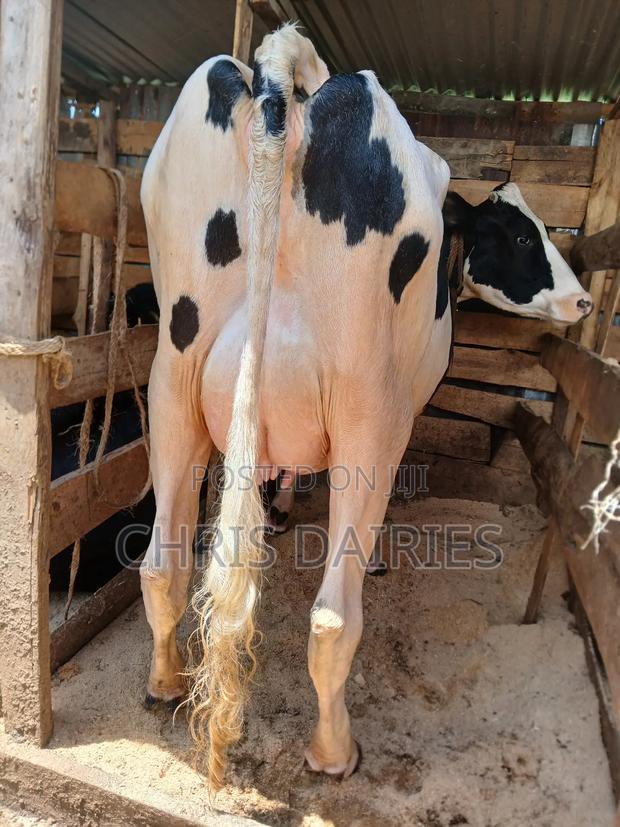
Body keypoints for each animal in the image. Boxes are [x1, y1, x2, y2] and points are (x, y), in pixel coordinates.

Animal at [139, 24, 592, 788]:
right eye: (522, 234)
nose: (584, 301)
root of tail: (282, 87)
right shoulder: (403, 407)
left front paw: (281, 506)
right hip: (367, 411)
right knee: (331, 618)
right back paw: (333, 751)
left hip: (172, 384)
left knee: (160, 565)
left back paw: (164, 681)